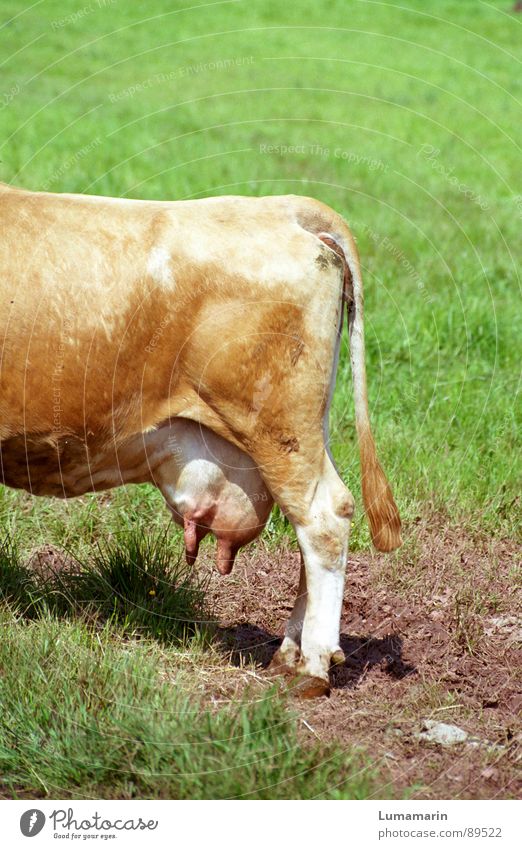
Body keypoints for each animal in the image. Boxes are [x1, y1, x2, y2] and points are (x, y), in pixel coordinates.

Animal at [0, 182, 398, 692]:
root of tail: (283, 207)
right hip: (306, 428)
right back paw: (289, 654)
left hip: (277, 429)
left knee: (324, 518)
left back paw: (311, 668)